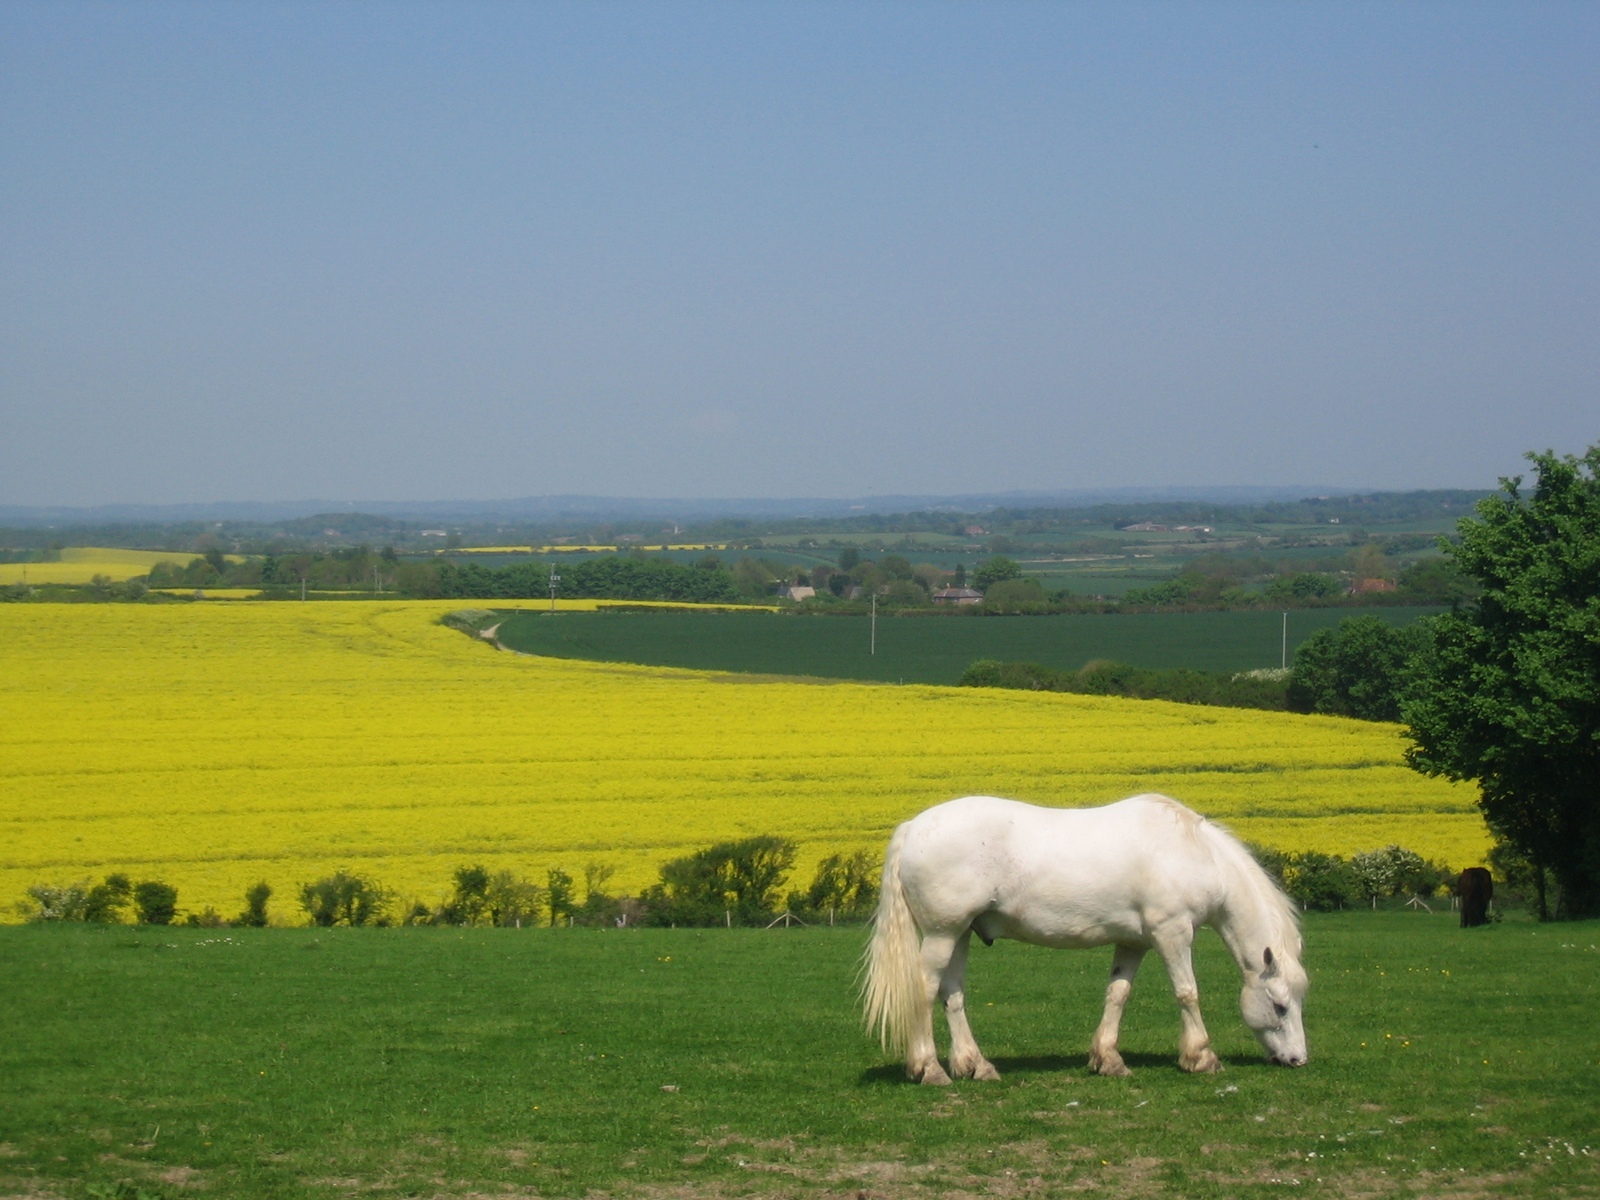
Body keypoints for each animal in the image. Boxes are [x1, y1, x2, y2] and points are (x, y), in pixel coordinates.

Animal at [861, 794, 1308, 1083]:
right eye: (1280, 1005)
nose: (1297, 1059)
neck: (1196, 853)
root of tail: (913, 828)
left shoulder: (1135, 942)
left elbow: (1118, 994)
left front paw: (1108, 1059)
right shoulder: (1172, 933)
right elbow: (1187, 993)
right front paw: (1201, 1057)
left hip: (960, 934)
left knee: (952, 993)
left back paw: (976, 1065)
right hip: (942, 933)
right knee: (925, 989)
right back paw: (929, 1068)